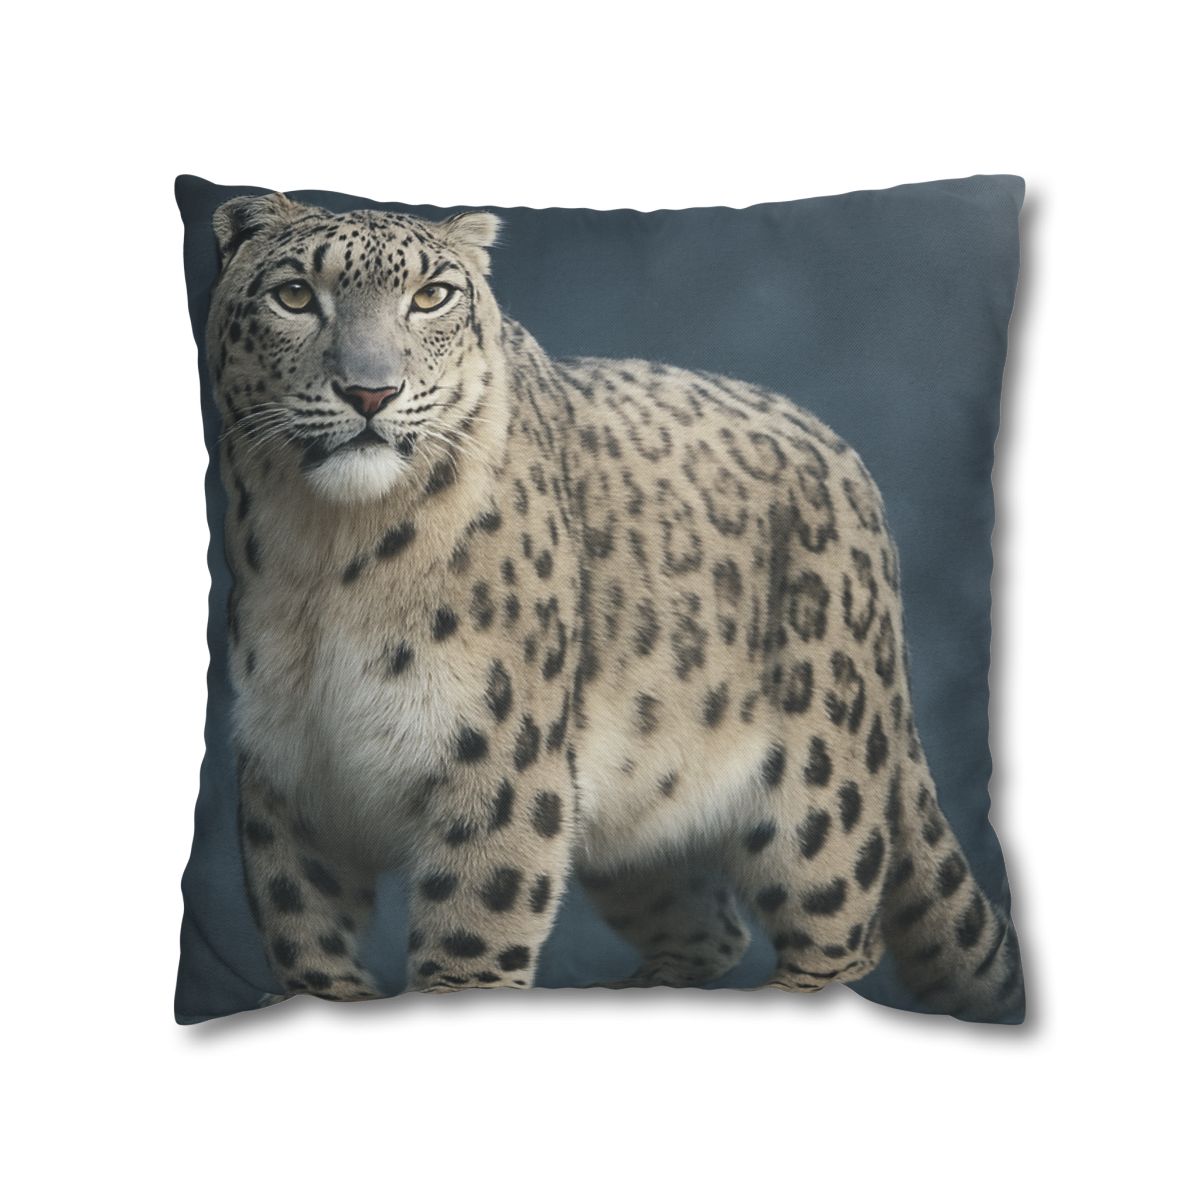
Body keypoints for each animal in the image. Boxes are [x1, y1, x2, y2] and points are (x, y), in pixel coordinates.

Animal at [206, 191, 1023, 1022]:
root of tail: (847, 460)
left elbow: (472, 941)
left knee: (839, 935)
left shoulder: (497, 763)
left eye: (432, 296)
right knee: (708, 922)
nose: (371, 392)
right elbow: (306, 940)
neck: (326, 558)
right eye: (294, 295)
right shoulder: (286, 773)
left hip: (821, 790)